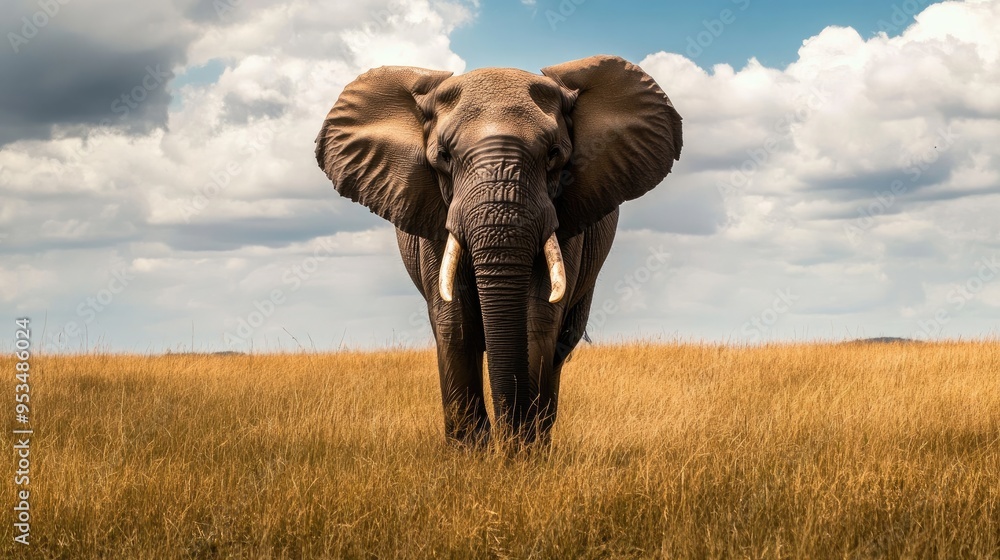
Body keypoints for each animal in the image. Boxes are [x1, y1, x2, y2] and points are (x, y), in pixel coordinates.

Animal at [315, 55, 682, 446]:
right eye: (444, 156)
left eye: (554, 155)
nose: (506, 439)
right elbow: (454, 321)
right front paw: (473, 452)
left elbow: (538, 318)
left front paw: (520, 450)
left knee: (560, 346)